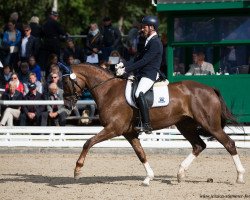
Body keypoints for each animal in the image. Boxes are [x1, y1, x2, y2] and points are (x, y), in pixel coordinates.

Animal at [60, 63, 244, 186]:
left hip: (210, 125)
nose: (67, 105)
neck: (108, 91)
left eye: (66, 83)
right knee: (199, 145)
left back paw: (240, 176)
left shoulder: (114, 129)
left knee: (229, 144)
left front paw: (77, 170)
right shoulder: (129, 133)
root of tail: (210, 88)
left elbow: (88, 142)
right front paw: (148, 178)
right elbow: (141, 154)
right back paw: (180, 174)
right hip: (185, 125)